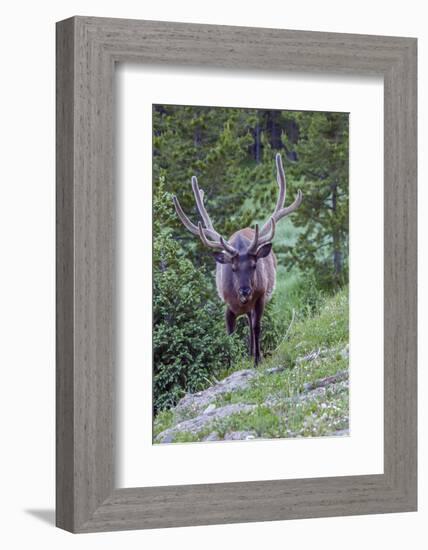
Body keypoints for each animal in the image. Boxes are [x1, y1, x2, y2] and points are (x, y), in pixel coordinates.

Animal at [172, 153, 302, 366]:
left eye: (254, 265)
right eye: (232, 268)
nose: (244, 291)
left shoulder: (260, 298)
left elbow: (257, 327)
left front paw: (257, 359)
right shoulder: (227, 305)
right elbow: (230, 335)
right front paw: (231, 362)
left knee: (251, 324)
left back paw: (252, 353)